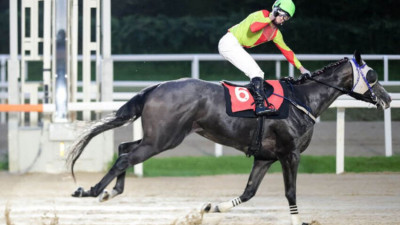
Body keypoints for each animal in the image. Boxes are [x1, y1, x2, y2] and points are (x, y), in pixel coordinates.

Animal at [68, 51, 390, 224]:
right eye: (373, 75)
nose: (387, 99)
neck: (302, 100)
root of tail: (156, 87)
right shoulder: (290, 154)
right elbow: (291, 193)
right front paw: (299, 219)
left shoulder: (265, 157)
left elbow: (248, 193)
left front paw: (211, 207)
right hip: (164, 139)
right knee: (125, 157)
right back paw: (92, 190)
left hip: (156, 137)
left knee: (124, 148)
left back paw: (110, 192)